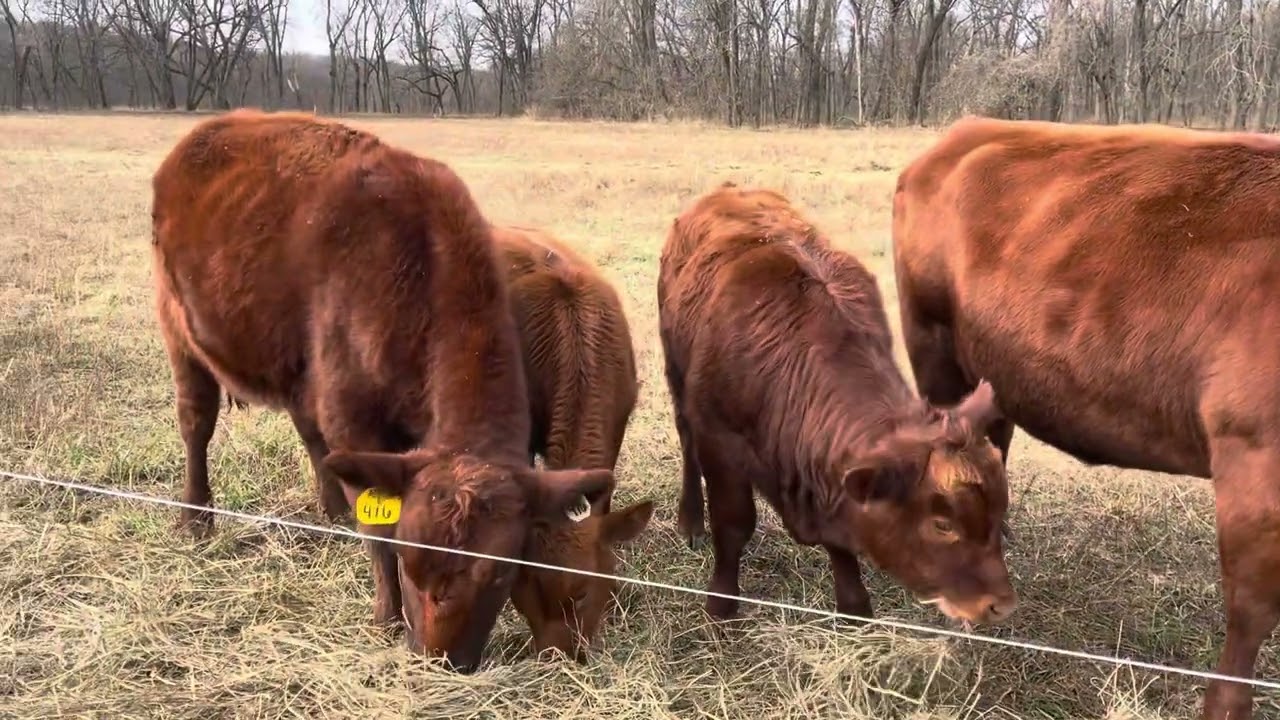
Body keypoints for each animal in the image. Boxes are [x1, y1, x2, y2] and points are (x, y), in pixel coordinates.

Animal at [149, 109, 615, 673]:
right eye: (412, 564)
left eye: (501, 573)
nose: (440, 659)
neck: (418, 273)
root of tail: (212, 129)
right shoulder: (354, 418)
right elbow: (378, 530)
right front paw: (387, 616)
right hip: (178, 326)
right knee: (196, 422)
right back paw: (196, 515)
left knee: (310, 434)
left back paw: (330, 510)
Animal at [657, 181, 1018, 626]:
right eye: (942, 525)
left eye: (998, 512)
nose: (999, 605)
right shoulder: (719, 441)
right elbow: (733, 525)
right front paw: (721, 607)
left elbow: (842, 544)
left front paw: (854, 608)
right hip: (676, 374)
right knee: (686, 443)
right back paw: (690, 520)